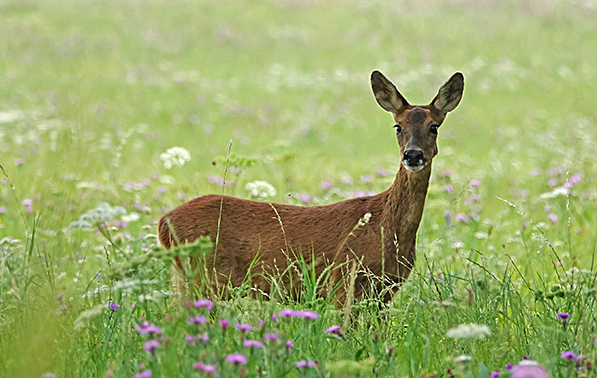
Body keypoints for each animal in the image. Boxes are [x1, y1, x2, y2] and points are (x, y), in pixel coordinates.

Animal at [156, 70, 464, 302]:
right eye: (398, 126)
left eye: (434, 126)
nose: (412, 155)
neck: (386, 227)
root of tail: (163, 222)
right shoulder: (345, 280)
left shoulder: (385, 291)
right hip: (203, 278)